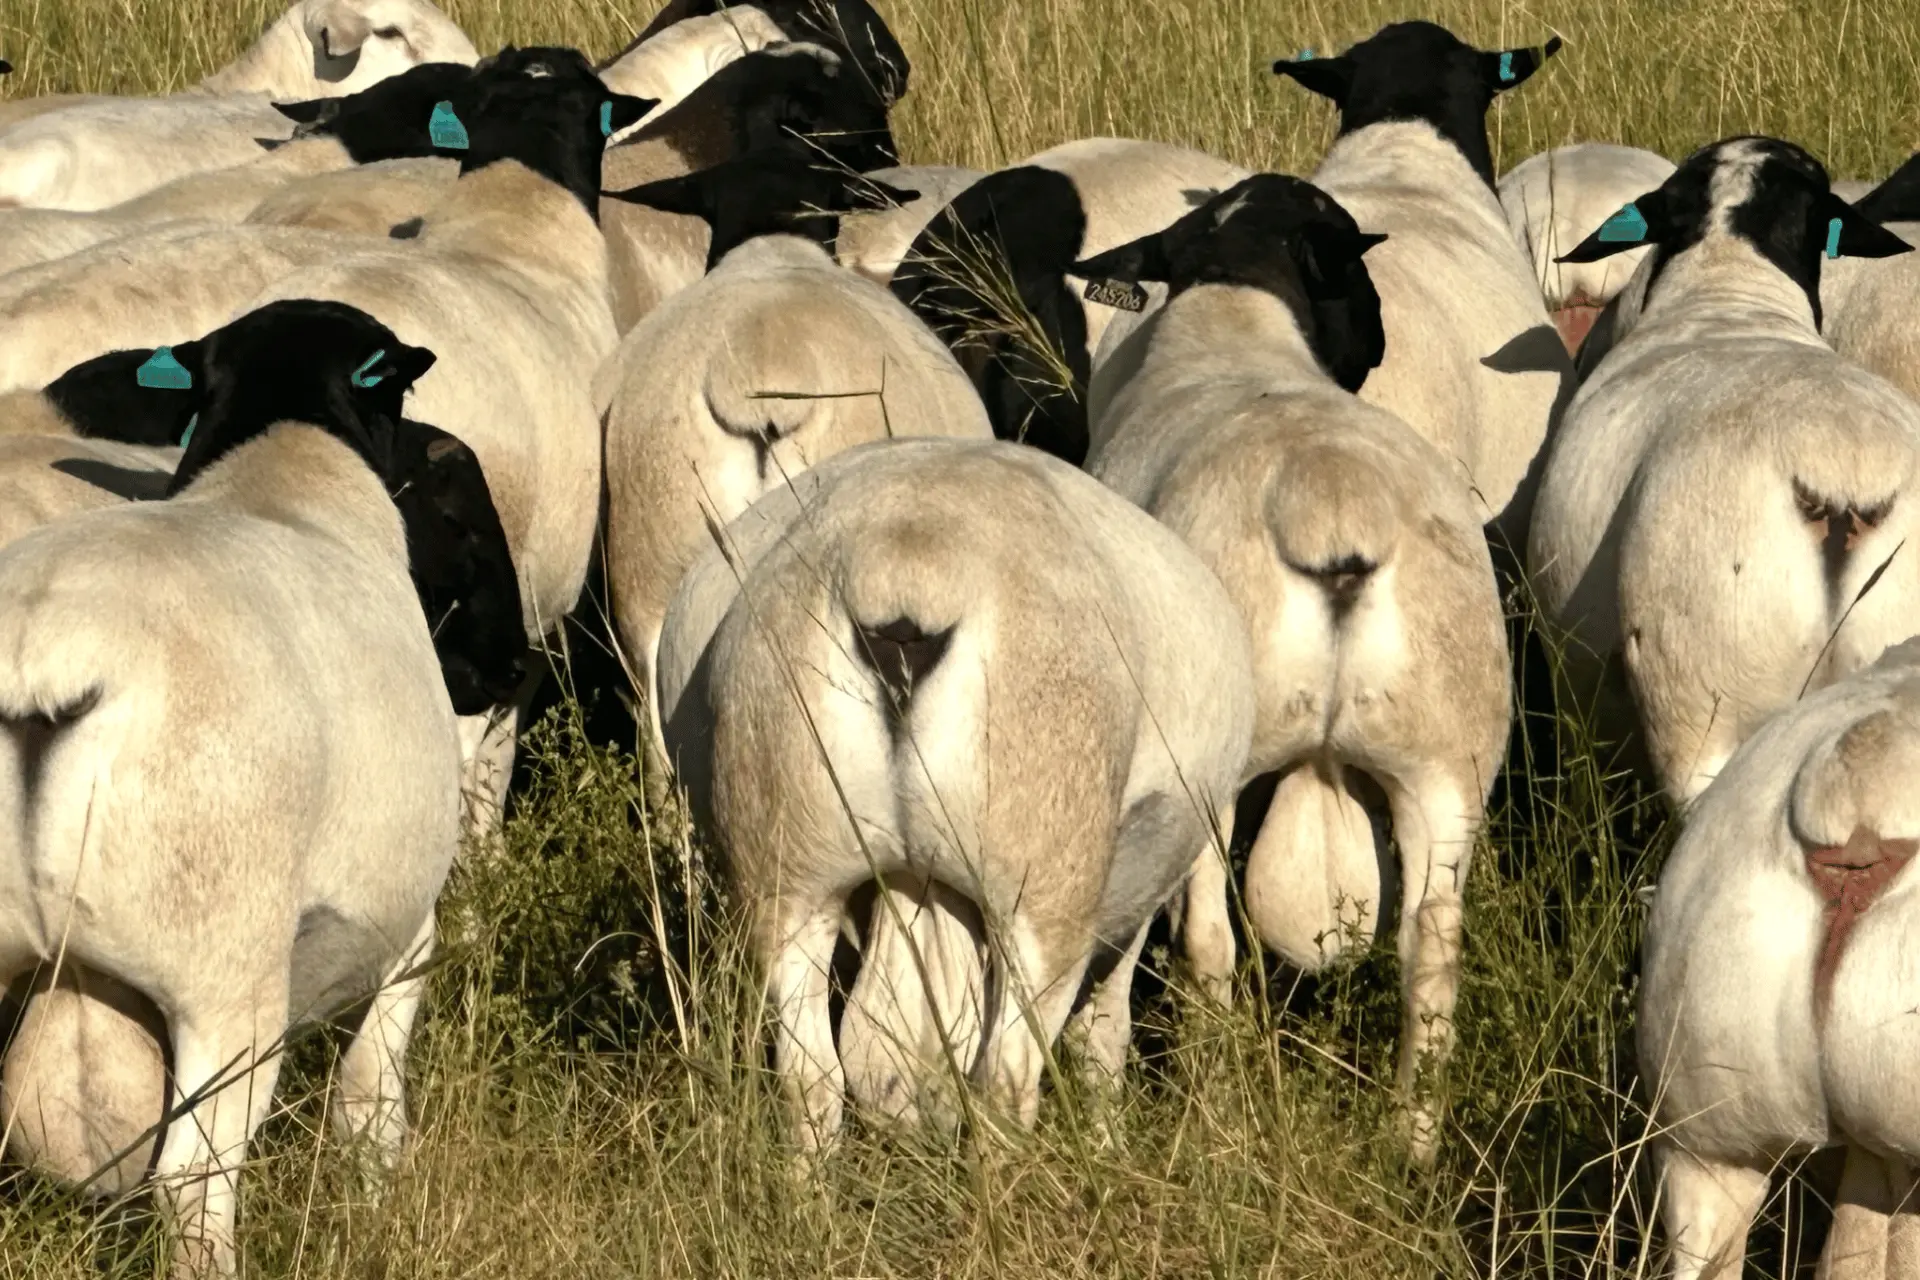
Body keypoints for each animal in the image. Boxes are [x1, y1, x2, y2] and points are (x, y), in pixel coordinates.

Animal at [0, 298, 520, 1276]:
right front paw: (370, 1208)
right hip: (228, 976)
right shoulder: (403, 926)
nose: (511, 667)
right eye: (461, 520)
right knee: (194, 1183)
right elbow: (369, 1104)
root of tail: (40, 659)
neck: (280, 470)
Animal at [653, 436, 1254, 1144]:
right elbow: (1102, 1040)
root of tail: (905, 564)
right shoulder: (1130, 899)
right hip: (1038, 894)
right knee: (1004, 1085)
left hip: (787, 872)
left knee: (811, 1080)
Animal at [1075, 173, 1511, 1159]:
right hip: (1447, 759)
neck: (1236, 310)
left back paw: (1220, 1130)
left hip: (1213, 773)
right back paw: (1409, 1147)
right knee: (1431, 953)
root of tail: (1330, 504)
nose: (1377, 341)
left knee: (1208, 943)